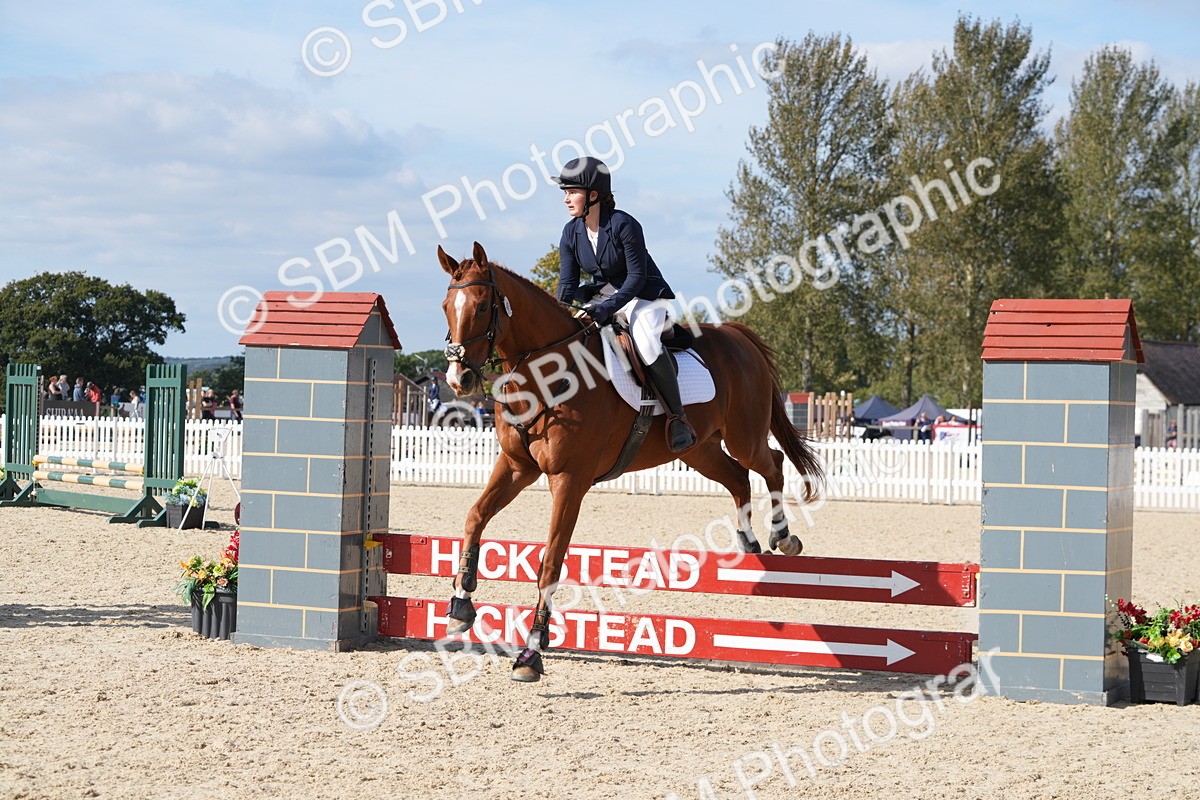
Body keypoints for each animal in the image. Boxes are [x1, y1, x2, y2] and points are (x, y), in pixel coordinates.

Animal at [437, 242, 824, 682]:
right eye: (447, 306)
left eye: (483, 306)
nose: (458, 380)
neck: (545, 375)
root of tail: (735, 335)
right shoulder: (517, 467)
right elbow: (475, 516)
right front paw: (460, 604)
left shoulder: (569, 480)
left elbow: (550, 562)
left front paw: (531, 652)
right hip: (698, 449)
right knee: (738, 477)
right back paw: (748, 541)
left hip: (744, 437)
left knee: (770, 463)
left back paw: (783, 536)